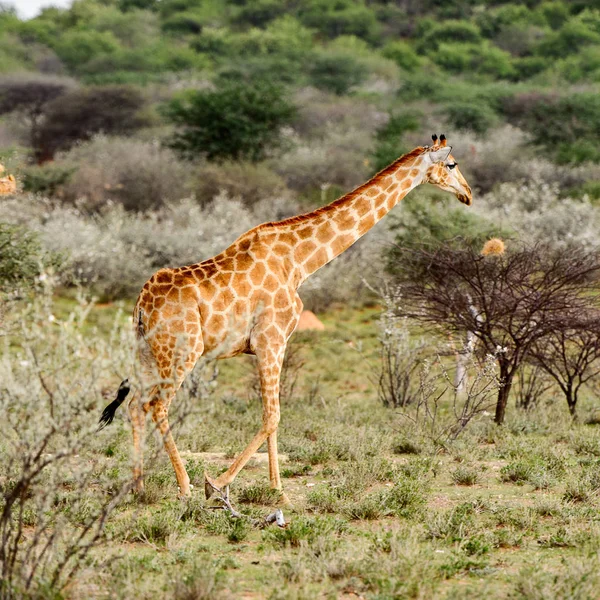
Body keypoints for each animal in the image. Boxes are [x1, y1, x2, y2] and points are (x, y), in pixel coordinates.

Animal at [99, 134, 474, 504]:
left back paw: (138, 486)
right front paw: (219, 484)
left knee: (135, 406)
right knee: (157, 405)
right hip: (182, 352)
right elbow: (272, 416)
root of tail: (142, 305)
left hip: (148, 353)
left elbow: (273, 417)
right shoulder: (271, 339)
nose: (468, 194)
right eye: (451, 164)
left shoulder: (270, 344)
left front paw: (275, 488)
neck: (299, 262)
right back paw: (185, 485)